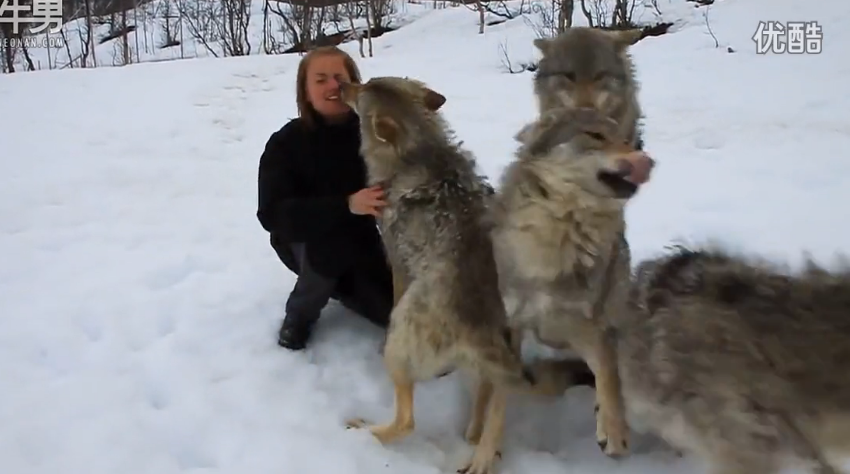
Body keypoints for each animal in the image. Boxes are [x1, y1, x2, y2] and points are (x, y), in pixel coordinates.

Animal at [338, 77, 536, 474]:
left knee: (406, 422)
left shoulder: (397, 263)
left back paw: (361, 430)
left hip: (401, 344)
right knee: (493, 401)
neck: (419, 152)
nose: (341, 85)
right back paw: (478, 444)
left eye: (360, 90)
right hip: (501, 355)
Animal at [480, 105, 652, 458]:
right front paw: (483, 456)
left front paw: (614, 429)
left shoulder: (593, 325)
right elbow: (497, 400)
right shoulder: (513, 324)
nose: (646, 160)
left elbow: (608, 374)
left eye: (627, 140)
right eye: (595, 135)